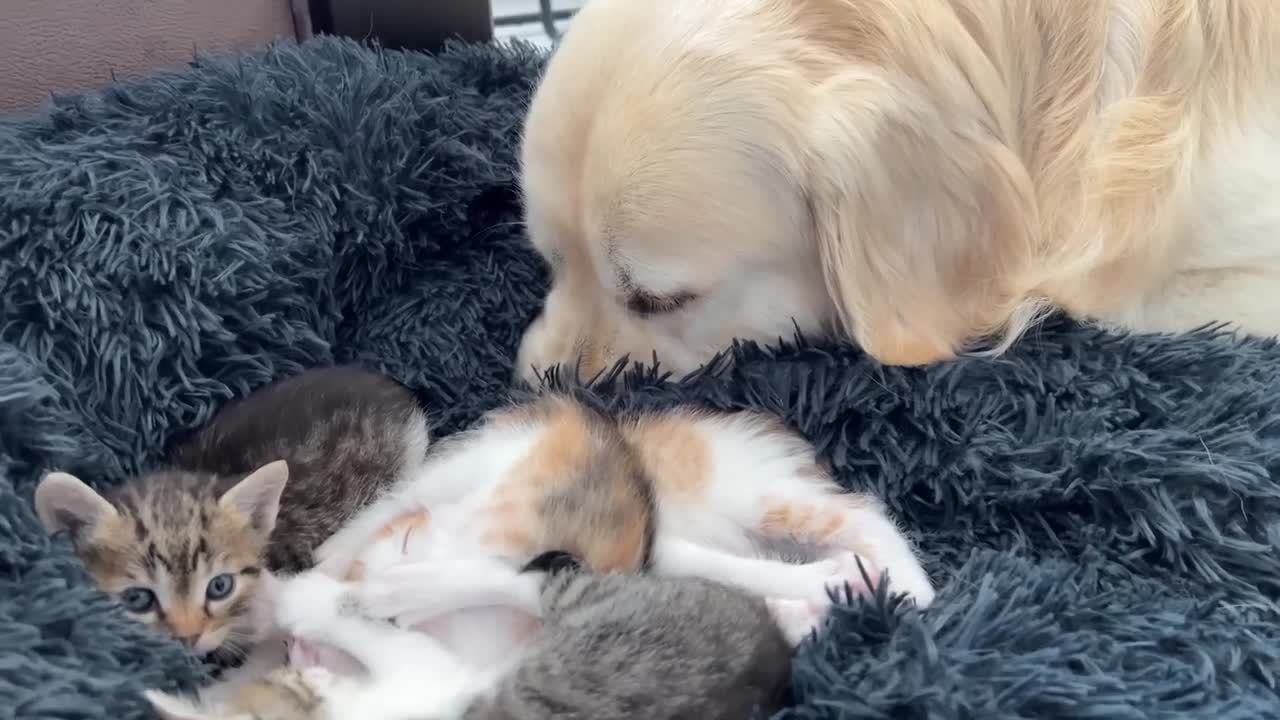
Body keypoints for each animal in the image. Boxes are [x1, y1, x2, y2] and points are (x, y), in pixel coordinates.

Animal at [145, 548, 793, 717]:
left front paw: (284, 598)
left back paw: (416, 588)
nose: (300, 665)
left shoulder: (427, 676)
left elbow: (356, 624)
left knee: (530, 584)